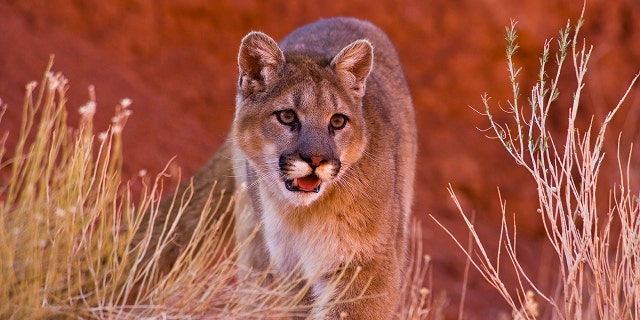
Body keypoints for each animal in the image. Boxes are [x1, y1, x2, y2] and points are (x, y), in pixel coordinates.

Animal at [138, 18, 418, 320]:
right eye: (286, 116)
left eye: (338, 121)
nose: (316, 160)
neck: (304, 215)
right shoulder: (291, 275)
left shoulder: (366, 267)